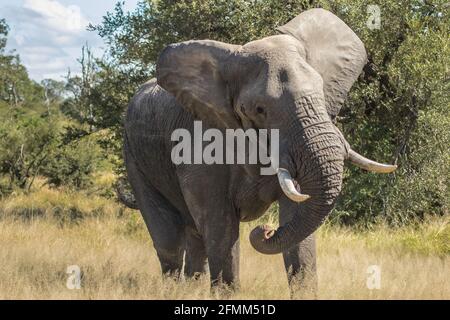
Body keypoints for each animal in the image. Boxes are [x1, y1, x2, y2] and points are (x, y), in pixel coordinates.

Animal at [123, 8, 398, 296]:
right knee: (168, 239)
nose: (264, 230)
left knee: (194, 235)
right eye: (258, 110)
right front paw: (226, 294)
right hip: (133, 156)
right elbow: (220, 224)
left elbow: (298, 215)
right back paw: (173, 290)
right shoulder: (198, 141)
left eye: (322, 94)